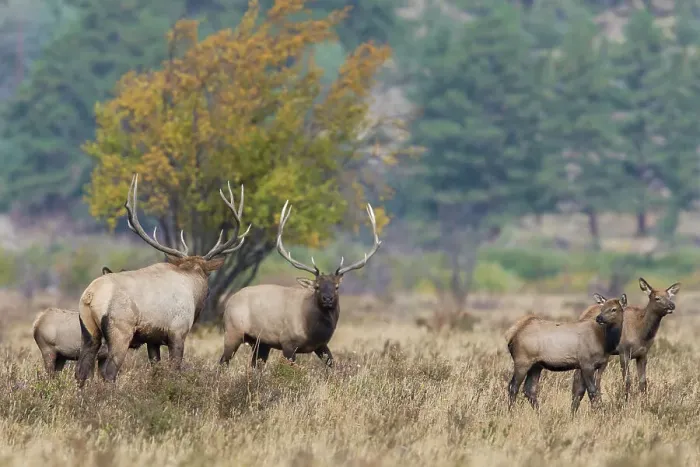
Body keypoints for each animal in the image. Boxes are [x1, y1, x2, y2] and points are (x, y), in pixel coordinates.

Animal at [75, 173, 250, 386]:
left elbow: (156, 369)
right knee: (109, 372)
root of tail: (90, 296)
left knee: (81, 371)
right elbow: (174, 369)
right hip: (120, 330)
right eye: (208, 284)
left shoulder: (153, 339)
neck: (192, 286)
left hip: (88, 331)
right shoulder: (178, 332)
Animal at [218, 200, 381, 368]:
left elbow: (332, 364)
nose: (328, 299)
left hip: (261, 342)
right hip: (232, 332)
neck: (313, 330)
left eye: (337, 287)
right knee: (223, 361)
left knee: (254, 365)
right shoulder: (288, 342)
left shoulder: (321, 345)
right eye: (317, 287)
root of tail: (228, 302)